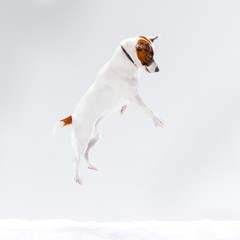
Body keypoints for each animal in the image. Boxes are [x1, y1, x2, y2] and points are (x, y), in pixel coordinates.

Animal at [53, 34, 164, 185]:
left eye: (154, 54)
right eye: (148, 56)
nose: (158, 70)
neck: (128, 62)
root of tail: (73, 117)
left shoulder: (130, 96)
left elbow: (127, 103)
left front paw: (123, 108)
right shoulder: (134, 97)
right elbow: (148, 109)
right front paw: (157, 120)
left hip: (95, 137)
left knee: (86, 153)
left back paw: (91, 165)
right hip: (82, 140)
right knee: (76, 159)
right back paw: (77, 178)